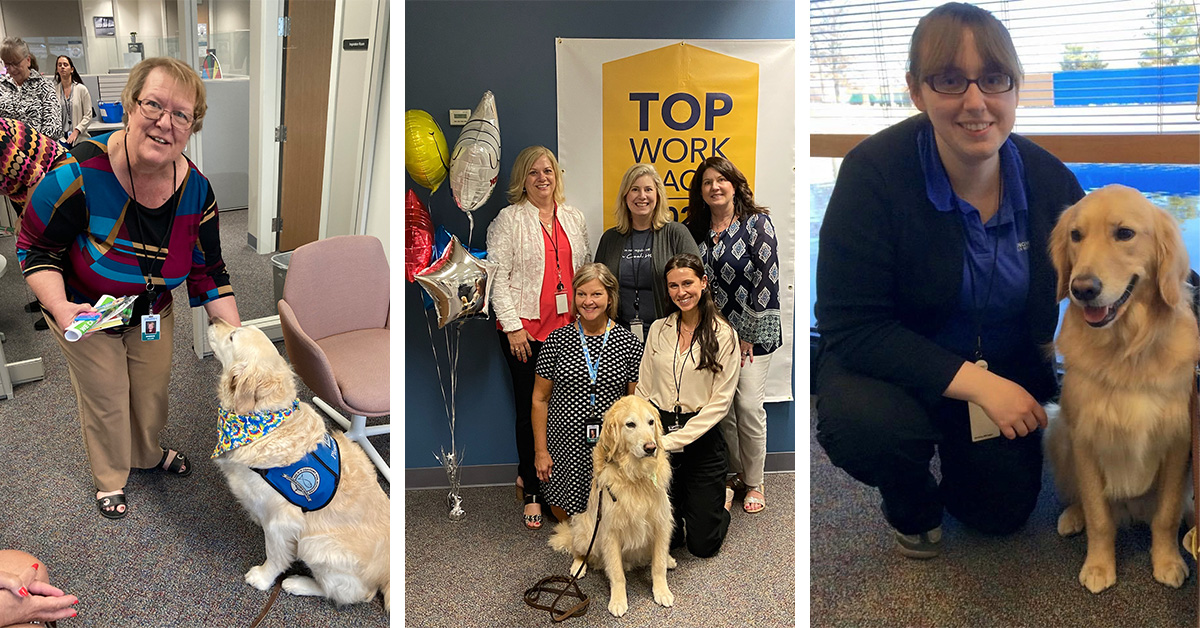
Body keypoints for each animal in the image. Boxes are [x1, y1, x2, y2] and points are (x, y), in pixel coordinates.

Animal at [206, 319, 388, 609]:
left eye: (233, 335)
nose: (213, 319)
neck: (265, 421)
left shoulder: (282, 521)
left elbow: (275, 554)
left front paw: (262, 578)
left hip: (316, 544)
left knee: (354, 593)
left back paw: (298, 583)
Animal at [549, 396, 676, 614]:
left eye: (651, 422)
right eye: (630, 424)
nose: (651, 447)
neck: (635, 476)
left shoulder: (661, 523)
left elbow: (658, 564)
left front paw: (662, 591)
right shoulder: (610, 532)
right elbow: (617, 574)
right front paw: (618, 601)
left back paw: (669, 560)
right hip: (586, 532)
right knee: (579, 551)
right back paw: (578, 567)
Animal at [1046, 182, 1195, 595]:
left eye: (1125, 233)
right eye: (1075, 235)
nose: (1082, 289)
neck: (1126, 349)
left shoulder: (1177, 439)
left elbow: (1167, 514)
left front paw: (1168, 561)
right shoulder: (1084, 437)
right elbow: (1100, 516)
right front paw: (1099, 565)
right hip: (1057, 429)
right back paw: (1073, 515)